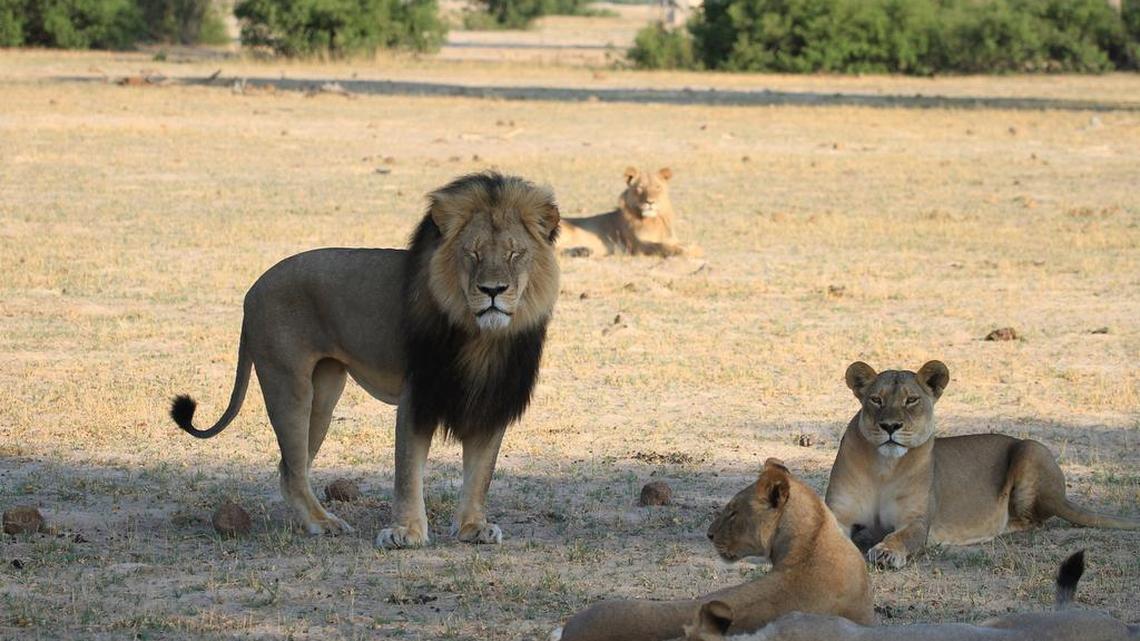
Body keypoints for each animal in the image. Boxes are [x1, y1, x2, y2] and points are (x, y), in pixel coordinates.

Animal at [169, 172, 561, 549]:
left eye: (514, 254)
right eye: (472, 254)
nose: (492, 290)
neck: (480, 336)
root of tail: (251, 291)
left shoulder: (493, 396)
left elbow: (480, 473)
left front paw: (472, 527)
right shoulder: (417, 395)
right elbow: (408, 472)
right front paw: (406, 533)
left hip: (324, 394)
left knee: (290, 467)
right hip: (289, 384)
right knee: (292, 470)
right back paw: (323, 523)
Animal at [558, 166, 692, 257]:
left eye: (657, 187)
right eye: (640, 188)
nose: (650, 202)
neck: (653, 220)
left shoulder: (672, 239)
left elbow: (684, 244)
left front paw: (691, 248)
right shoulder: (636, 245)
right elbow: (660, 246)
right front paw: (683, 251)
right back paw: (582, 251)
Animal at [825, 360, 1139, 569]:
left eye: (911, 400)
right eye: (876, 400)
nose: (890, 426)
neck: (884, 468)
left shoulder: (917, 520)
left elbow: (903, 536)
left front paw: (886, 552)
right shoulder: (840, 512)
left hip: (1031, 448)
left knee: (1033, 521)